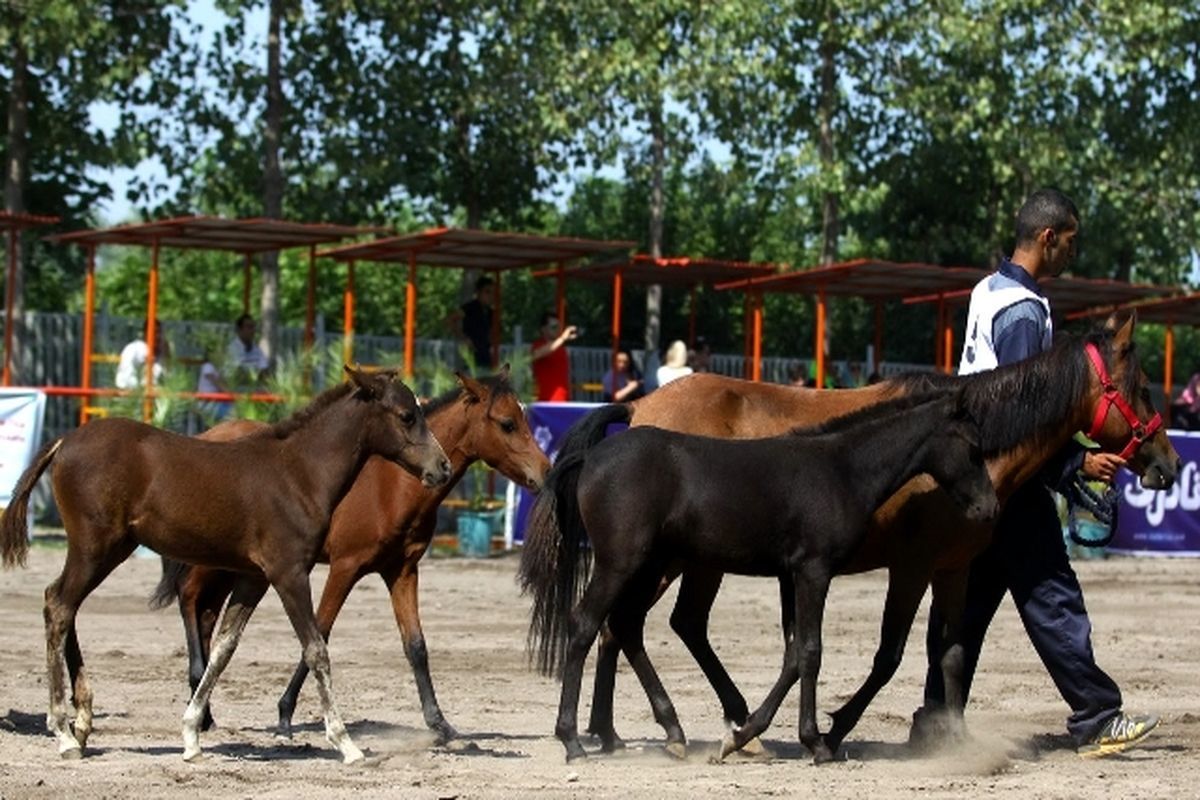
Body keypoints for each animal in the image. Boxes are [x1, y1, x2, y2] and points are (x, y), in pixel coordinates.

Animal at [1, 367, 451, 762]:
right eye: (407, 415)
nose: (442, 467)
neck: (298, 473)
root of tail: (64, 441)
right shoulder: (289, 573)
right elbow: (316, 649)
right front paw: (347, 744)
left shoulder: (254, 578)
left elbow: (223, 647)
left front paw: (191, 737)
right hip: (96, 547)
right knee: (59, 606)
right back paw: (63, 731)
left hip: (109, 549)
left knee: (62, 603)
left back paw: (81, 723)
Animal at [146, 369, 552, 743]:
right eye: (507, 423)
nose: (545, 471)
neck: (394, 486)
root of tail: (207, 436)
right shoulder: (344, 567)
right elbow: (320, 632)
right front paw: (285, 713)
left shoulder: (402, 570)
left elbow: (416, 646)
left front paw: (440, 724)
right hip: (209, 557)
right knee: (190, 598)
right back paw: (200, 700)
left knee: (207, 613)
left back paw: (204, 710)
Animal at [520, 388, 998, 762]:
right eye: (974, 448)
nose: (988, 508)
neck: (840, 469)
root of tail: (594, 455)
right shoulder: (813, 570)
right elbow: (810, 651)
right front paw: (814, 743)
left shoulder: (790, 575)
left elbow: (793, 654)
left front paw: (744, 734)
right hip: (622, 562)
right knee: (586, 624)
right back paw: (572, 740)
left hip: (650, 565)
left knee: (624, 626)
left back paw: (669, 732)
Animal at [573, 311, 1180, 758]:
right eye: (1145, 388)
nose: (1169, 465)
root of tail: (640, 406)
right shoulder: (910, 566)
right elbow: (888, 655)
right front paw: (836, 728)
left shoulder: (954, 568)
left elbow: (952, 652)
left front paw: (953, 740)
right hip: (663, 559)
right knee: (623, 625)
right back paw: (669, 730)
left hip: (689, 560)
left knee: (656, 626)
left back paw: (623, 731)